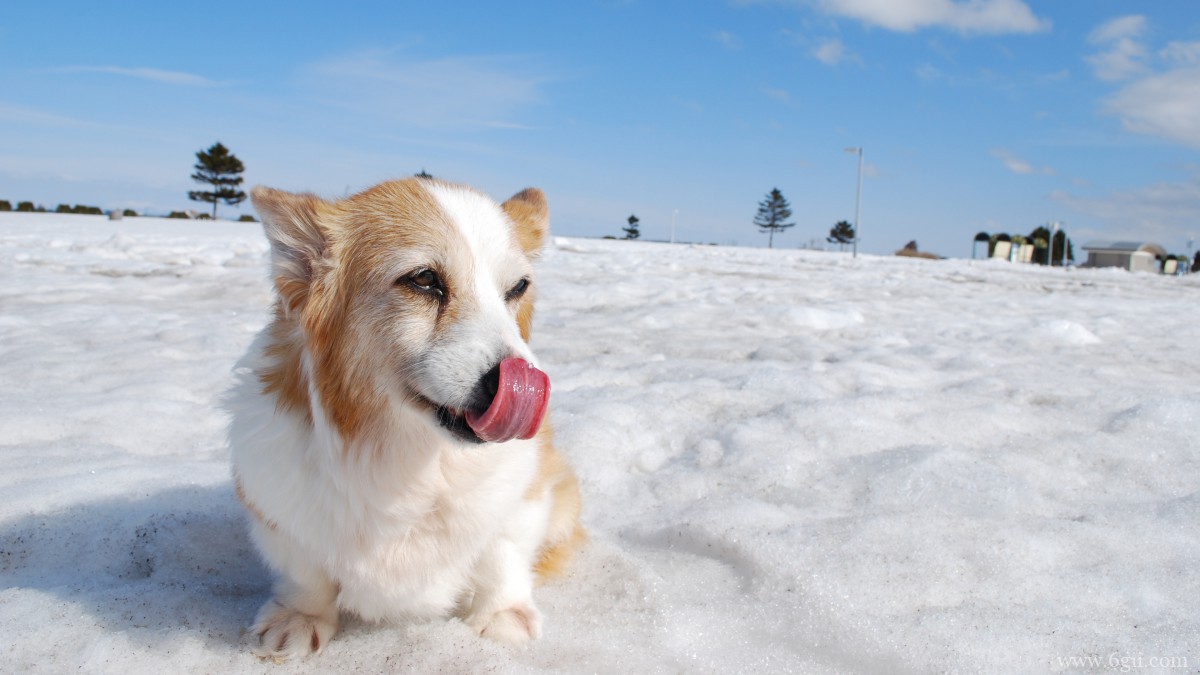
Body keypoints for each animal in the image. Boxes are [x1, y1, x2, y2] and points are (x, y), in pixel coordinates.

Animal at [228, 177, 585, 658]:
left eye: (518, 287)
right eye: (424, 280)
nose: (523, 385)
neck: (415, 461)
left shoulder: (524, 497)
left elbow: (501, 555)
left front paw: (502, 616)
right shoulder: (278, 512)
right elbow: (306, 573)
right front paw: (299, 618)